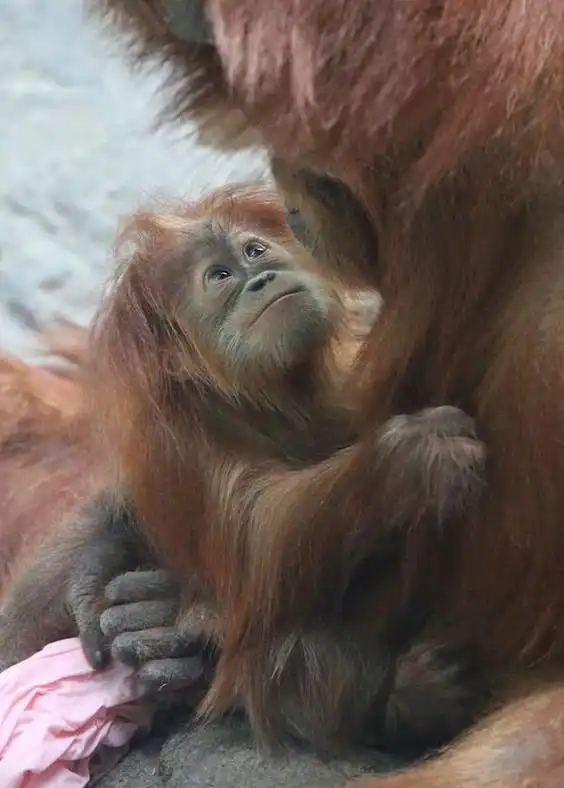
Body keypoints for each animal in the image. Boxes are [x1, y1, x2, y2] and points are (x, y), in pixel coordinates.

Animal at [0, 182, 488, 758]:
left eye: (254, 252)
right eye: (219, 277)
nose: (261, 279)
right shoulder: (183, 438)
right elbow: (259, 541)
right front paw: (407, 460)